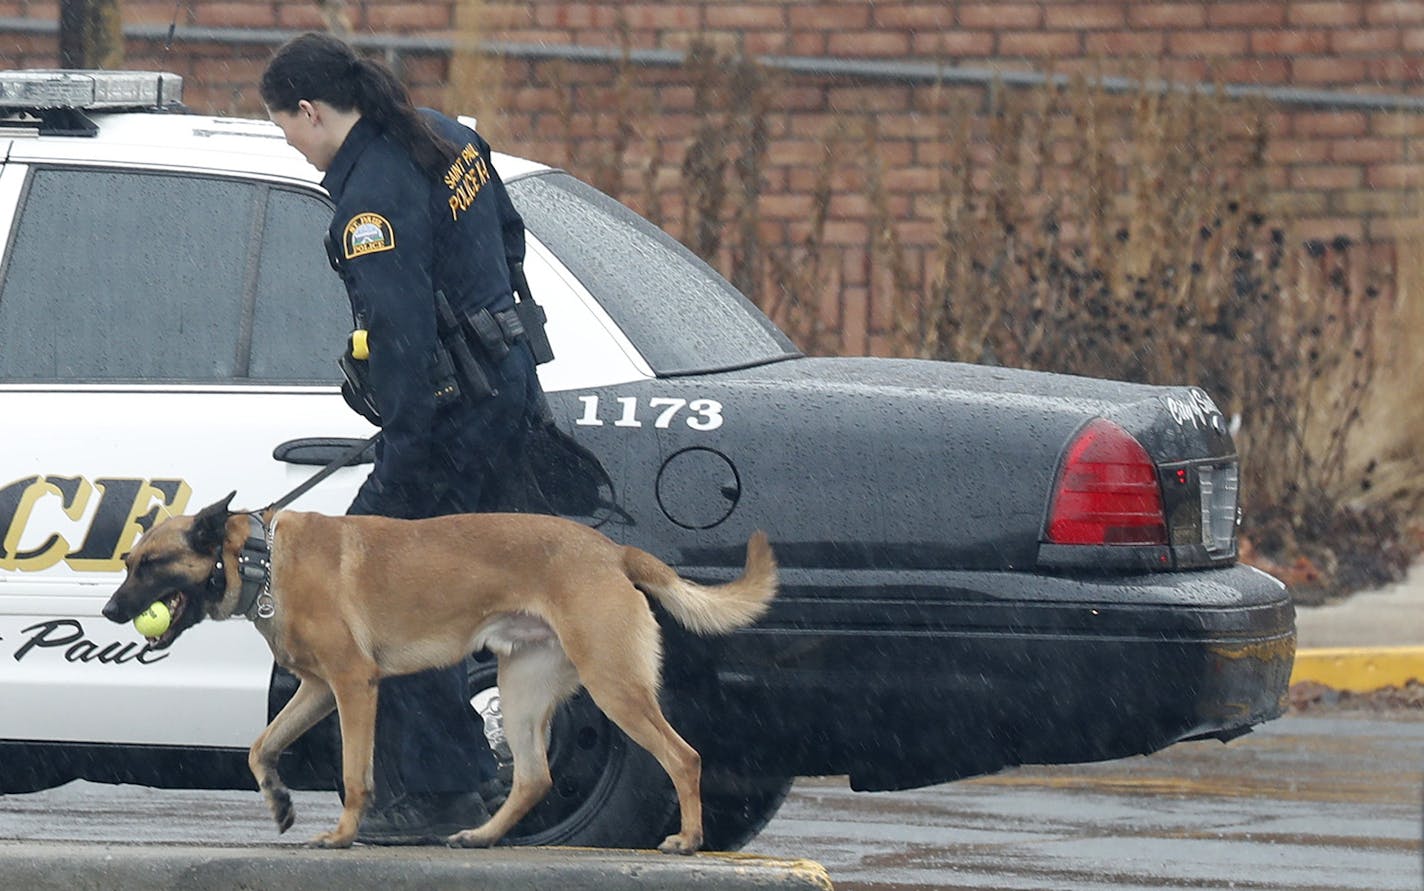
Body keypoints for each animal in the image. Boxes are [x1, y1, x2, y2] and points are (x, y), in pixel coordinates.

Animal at [101, 492, 780, 848]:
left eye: (152, 565)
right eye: (128, 561)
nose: (109, 611)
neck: (260, 559)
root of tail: (613, 552)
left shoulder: (353, 686)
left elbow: (355, 774)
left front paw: (342, 836)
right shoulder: (318, 690)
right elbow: (260, 746)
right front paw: (280, 801)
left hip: (614, 686)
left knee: (684, 757)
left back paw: (689, 841)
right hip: (523, 689)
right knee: (533, 778)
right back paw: (481, 837)